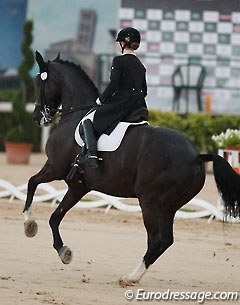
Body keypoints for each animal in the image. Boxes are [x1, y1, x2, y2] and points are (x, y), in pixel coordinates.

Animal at [23, 51, 240, 286]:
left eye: (38, 82)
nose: (37, 117)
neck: (75, 116)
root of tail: (196, 156)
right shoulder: (77, 186)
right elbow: (55, 217)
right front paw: (64, 251)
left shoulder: (55, 168)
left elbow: (32, 183)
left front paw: (29, 225)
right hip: (168, 206)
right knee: (165, 241)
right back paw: (134, 276)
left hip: (150, 202)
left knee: (156, 240)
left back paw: (129, 277)